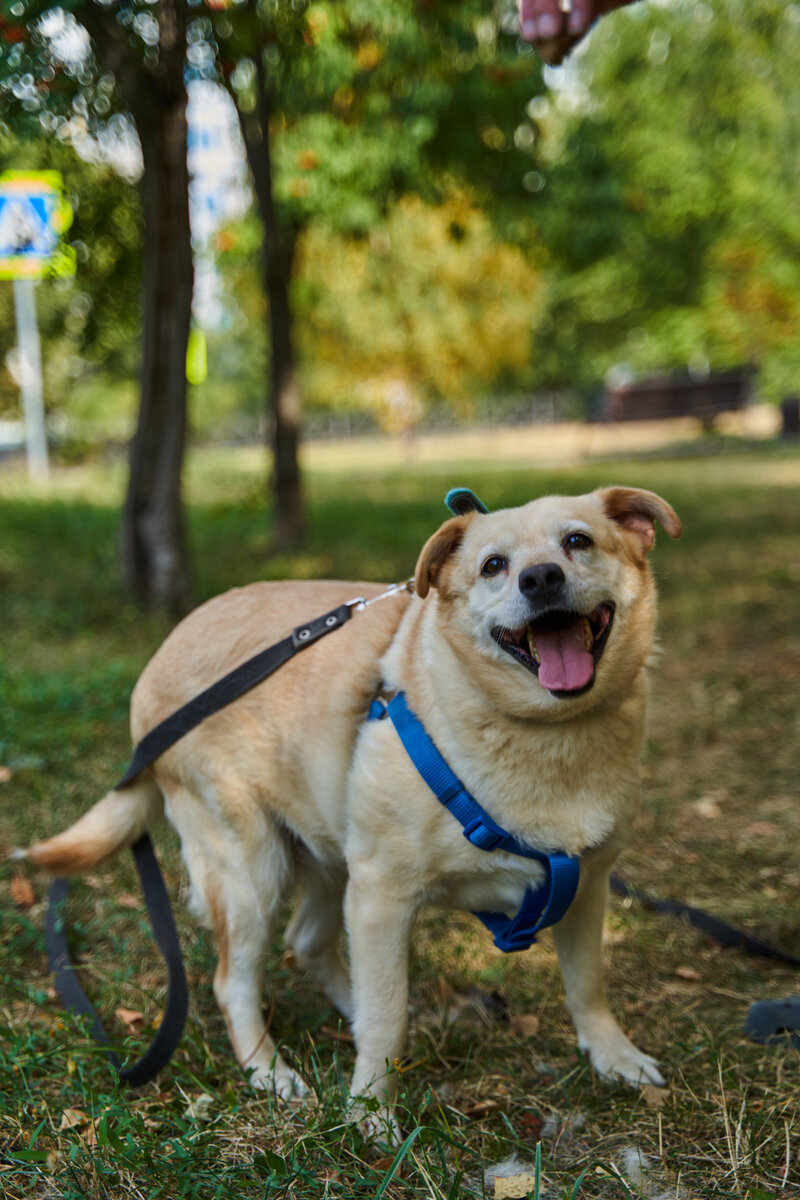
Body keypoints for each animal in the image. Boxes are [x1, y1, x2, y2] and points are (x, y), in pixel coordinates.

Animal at [25, 484, 681, 1123]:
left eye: (578, 541)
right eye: (493, 565)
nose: (540, 578)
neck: (548, 735)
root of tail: (161, 656)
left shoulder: (586, 885)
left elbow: (587, 985)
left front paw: (613, 1056)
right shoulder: (382, 896)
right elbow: (386, 1016)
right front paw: (371, 1112)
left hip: (331, 849)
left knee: (311, 943)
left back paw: (349, 1015)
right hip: (253, 870)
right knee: (234, 982)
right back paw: (270, 1070)